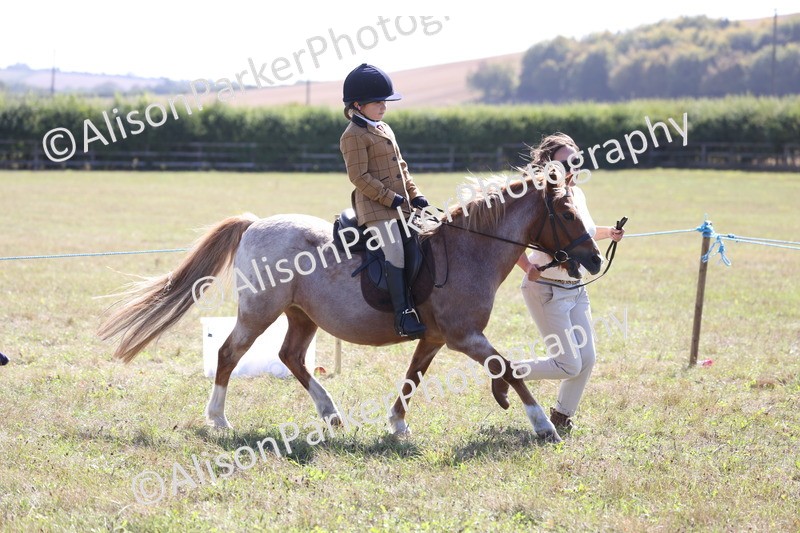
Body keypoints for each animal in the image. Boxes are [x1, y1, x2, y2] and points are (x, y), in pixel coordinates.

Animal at [97, 170, 601, 443]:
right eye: (568, 214)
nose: (595, 259)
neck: (468, 249)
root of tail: (256, 224)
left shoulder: (437, 337)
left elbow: (413, 377)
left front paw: (397, 425)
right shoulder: (464, 336)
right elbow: (509, 368)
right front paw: (543, 425)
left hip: (302, 316)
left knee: (291, 357)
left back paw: (331, 413)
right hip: (259, 312)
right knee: (228, 353)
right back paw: (219, 419)